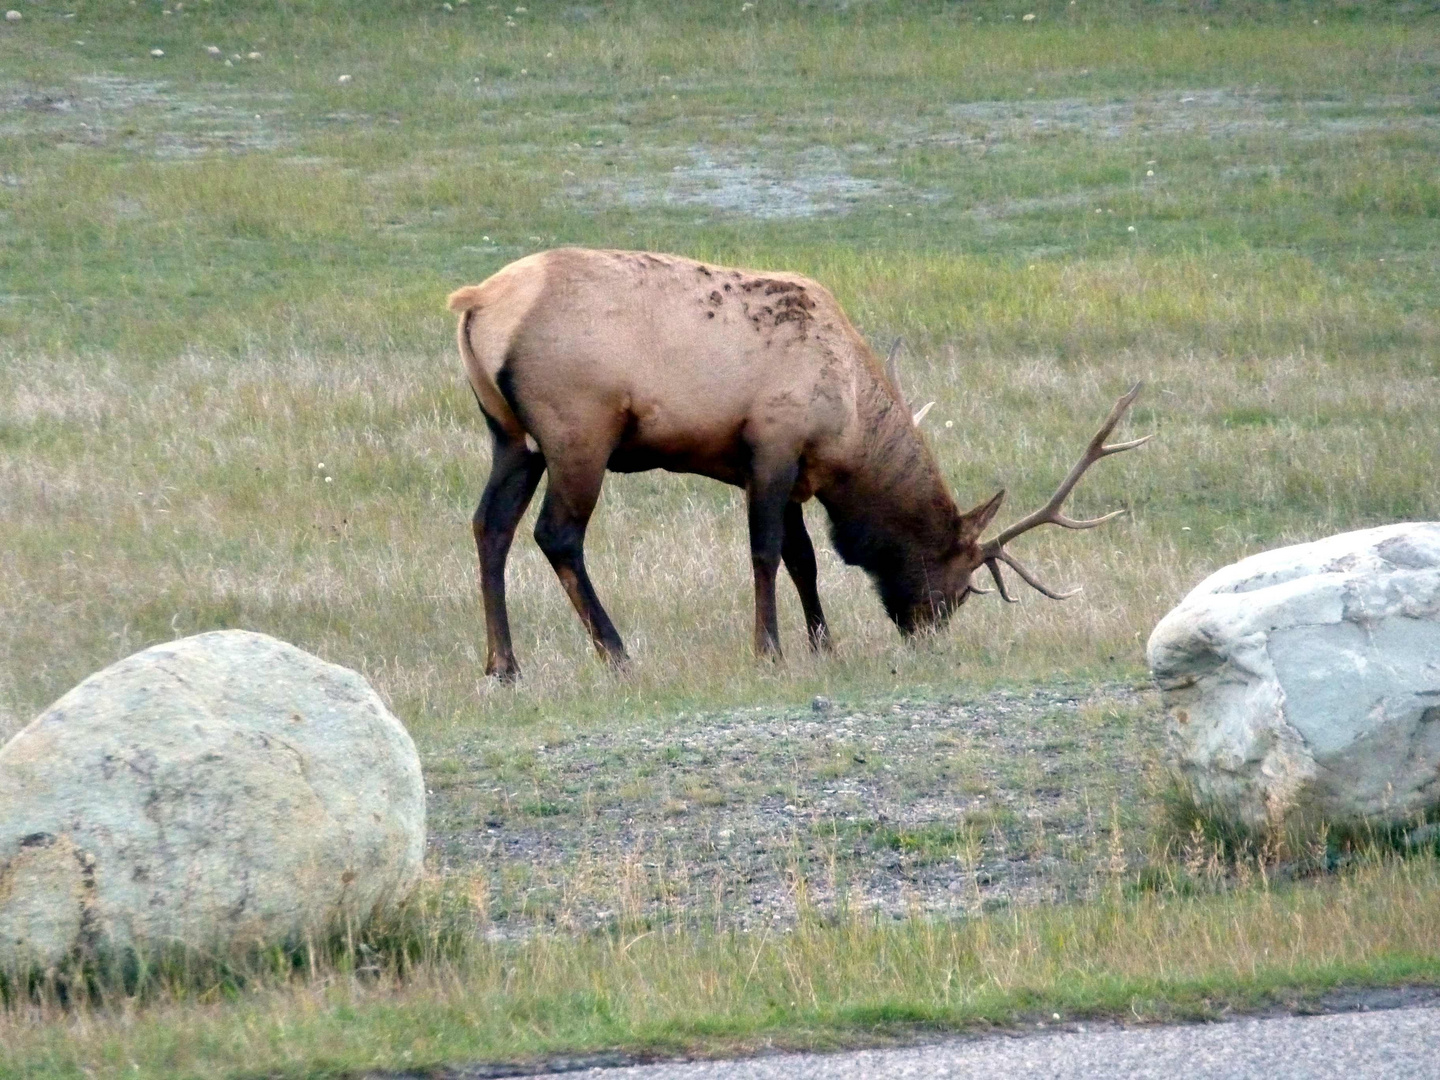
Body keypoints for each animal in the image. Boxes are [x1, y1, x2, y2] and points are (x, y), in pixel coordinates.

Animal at [443, 249, 1152, 679]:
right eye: (959, 585)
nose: (926, 632)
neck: (849, 424)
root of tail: (476, 302)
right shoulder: (772, 445)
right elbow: (765, 553)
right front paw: (769, 648)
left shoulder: (792, 472)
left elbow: (803, 559)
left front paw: (824, 642)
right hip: (578, 430)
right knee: (556, 535)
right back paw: (616, 654)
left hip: (510, 437)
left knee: (489, 526)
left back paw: (503, 665)